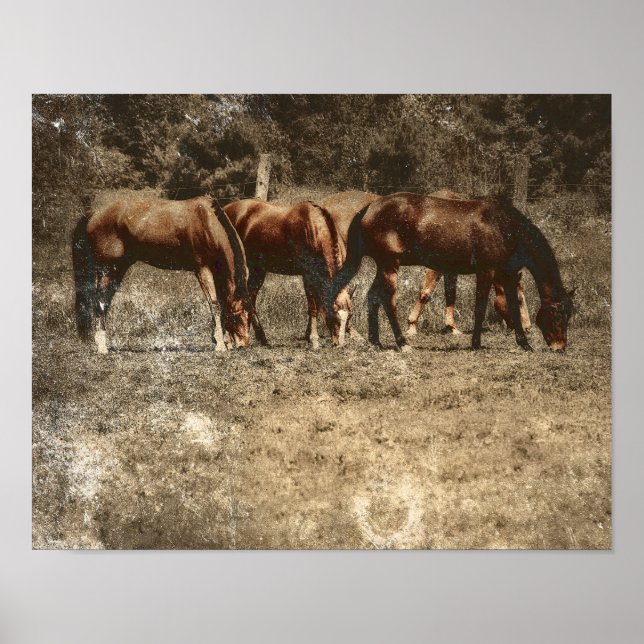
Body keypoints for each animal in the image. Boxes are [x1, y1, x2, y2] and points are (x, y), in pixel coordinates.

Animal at [72, 195, 253, 354]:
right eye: (237, 315)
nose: (243, 344)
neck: (207, 223)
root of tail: (94, 213)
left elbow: (221, 302)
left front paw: (223, 341)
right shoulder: (203, 269)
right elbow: (214, 304)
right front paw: (221, 344)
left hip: (117, 269)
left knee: (104, 301)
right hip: (108, 269)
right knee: (100, 302)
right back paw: (102, 347)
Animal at [223, 199, 353, 348]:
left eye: (350, 315)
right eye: (335, 315)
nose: (340, 344)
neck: (316, 228)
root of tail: (225, 208)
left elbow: (319, 304)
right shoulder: (307, 275)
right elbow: (313, 307)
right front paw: (313, 339)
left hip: (258, 269)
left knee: (250, 298)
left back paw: (259, 336)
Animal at [328, 192, 574, 352]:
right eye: (559, 314)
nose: (560, 347)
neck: (505, 227)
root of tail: (369, 208)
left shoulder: (507, 274)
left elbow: (511, 306)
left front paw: (524, 343)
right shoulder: (486, 271)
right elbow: (480, 307)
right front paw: (476, 344)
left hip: (383, 267)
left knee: (373, 297)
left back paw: (376, 342)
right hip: (389, 266)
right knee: (388, 301)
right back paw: (402, 343)